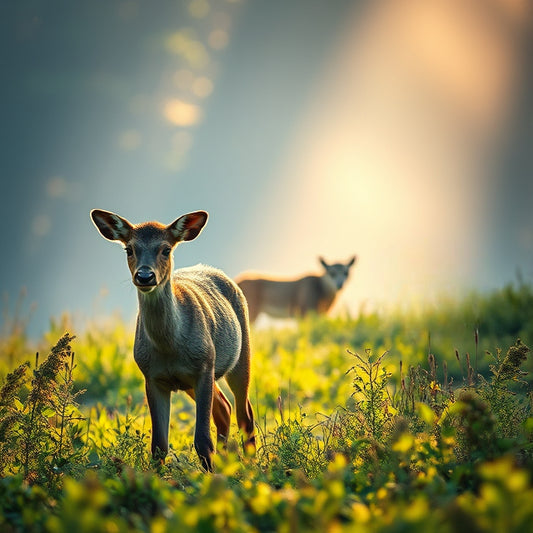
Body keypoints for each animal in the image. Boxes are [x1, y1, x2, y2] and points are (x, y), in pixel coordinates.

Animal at [90, 208, 255, 470]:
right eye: (129, 249)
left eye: (166, 249)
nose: (145, 276)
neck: (169, 347)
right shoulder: (152, 376)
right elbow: (158, 445)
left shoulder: (204, 366)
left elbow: (202, 441)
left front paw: (212, 476)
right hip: (192, 382)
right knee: (224, 408)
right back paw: (227, 461)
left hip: (241, 355)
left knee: (244, 413)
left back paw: (251, 464)